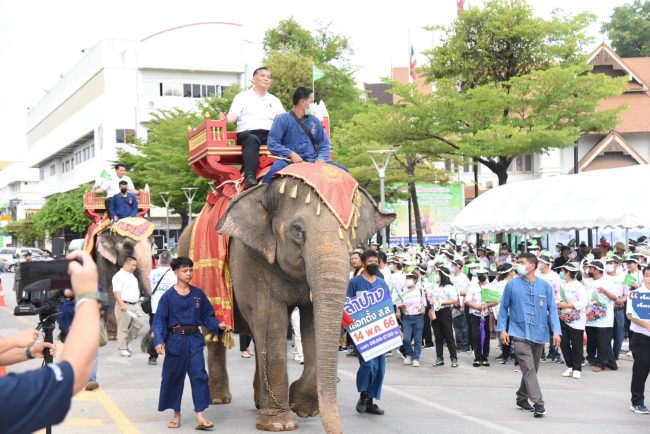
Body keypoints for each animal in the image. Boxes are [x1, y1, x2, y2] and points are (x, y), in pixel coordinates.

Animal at [175, 173, 394, 434]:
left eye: (351, 233)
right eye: (298, 231)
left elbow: (311, 323)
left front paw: (302, 407)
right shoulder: (249, 257)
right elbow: (272, 319)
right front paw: (280, 423)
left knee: (257, 337)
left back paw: (259, 401)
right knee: (218, 334)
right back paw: (219, 399)